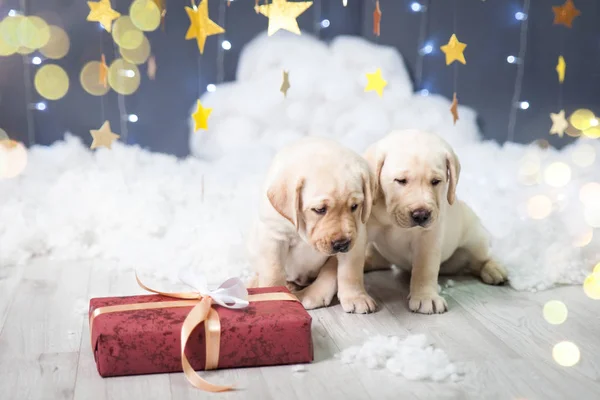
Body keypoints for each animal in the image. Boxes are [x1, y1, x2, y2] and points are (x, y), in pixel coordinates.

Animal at [248, 138, 380, 316]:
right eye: (319, 210)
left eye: (354, 206)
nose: (342, 244)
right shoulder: (274, 235)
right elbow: (273, 272)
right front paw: (273, 299)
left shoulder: (357, 235)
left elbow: (351, 269)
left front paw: (356, 297)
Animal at [366, 130, 506, 314]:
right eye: (401, 181)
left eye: (435, 182)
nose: (421, 215)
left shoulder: (428, 238)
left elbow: (425, 268)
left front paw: (426, 297)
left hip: (475, 238)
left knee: (481, 259)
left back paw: (494, 269)